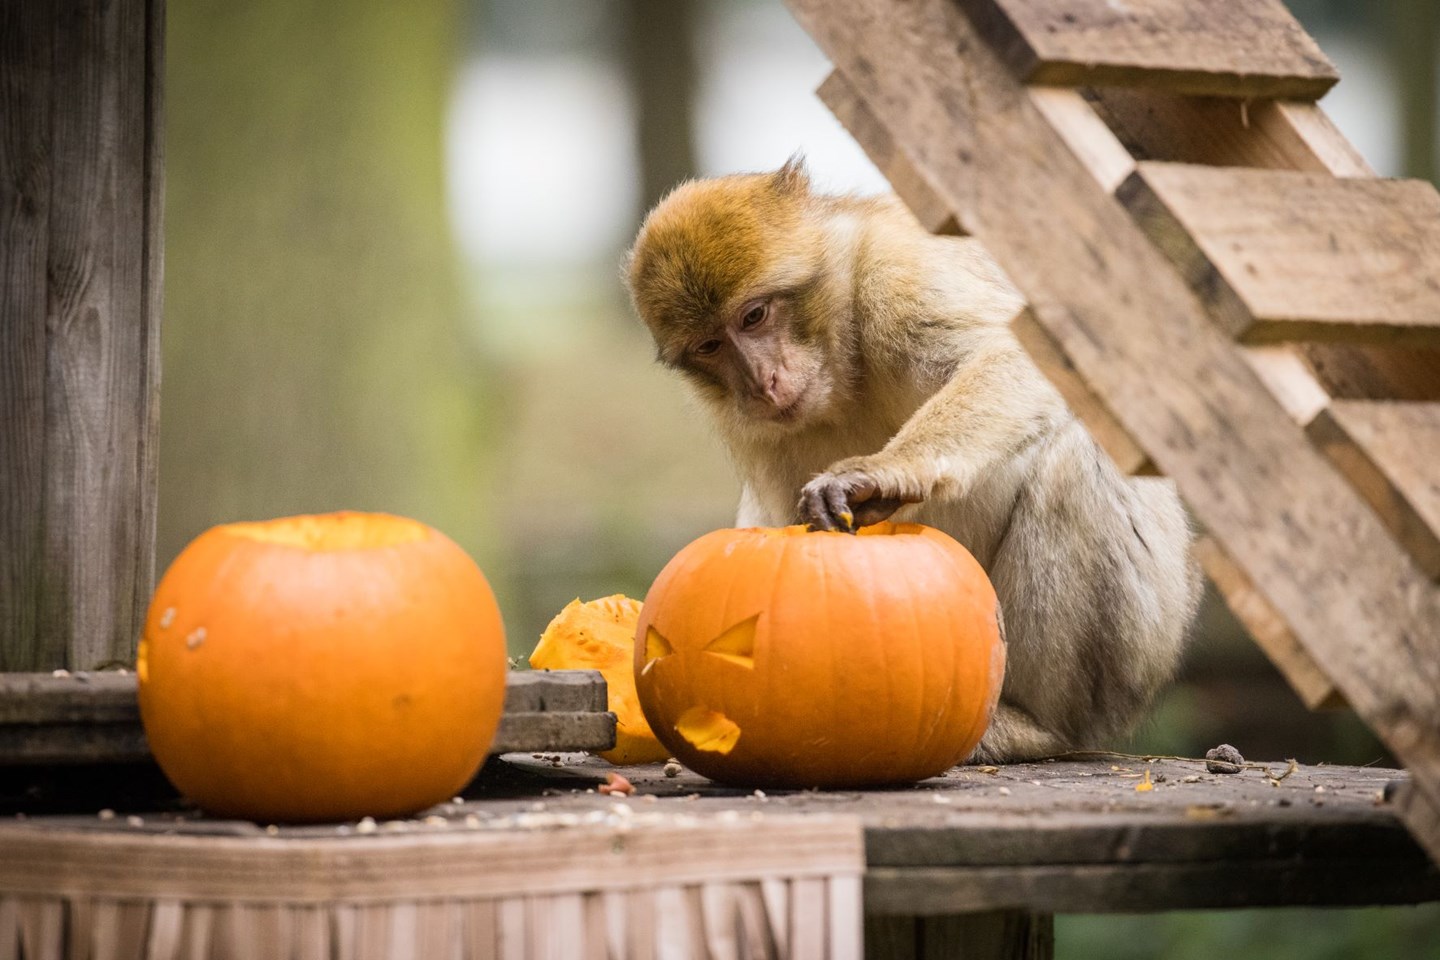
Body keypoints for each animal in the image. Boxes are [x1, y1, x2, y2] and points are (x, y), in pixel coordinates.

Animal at [624, 157, 1198, 759]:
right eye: (711, 346)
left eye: (754, 317)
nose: (762, 383)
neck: (844, 360)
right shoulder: (758, 429)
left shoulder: (897, 279)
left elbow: (1031, 358)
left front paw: (880, 474)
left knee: (1076, 454)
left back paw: (1032, 723)